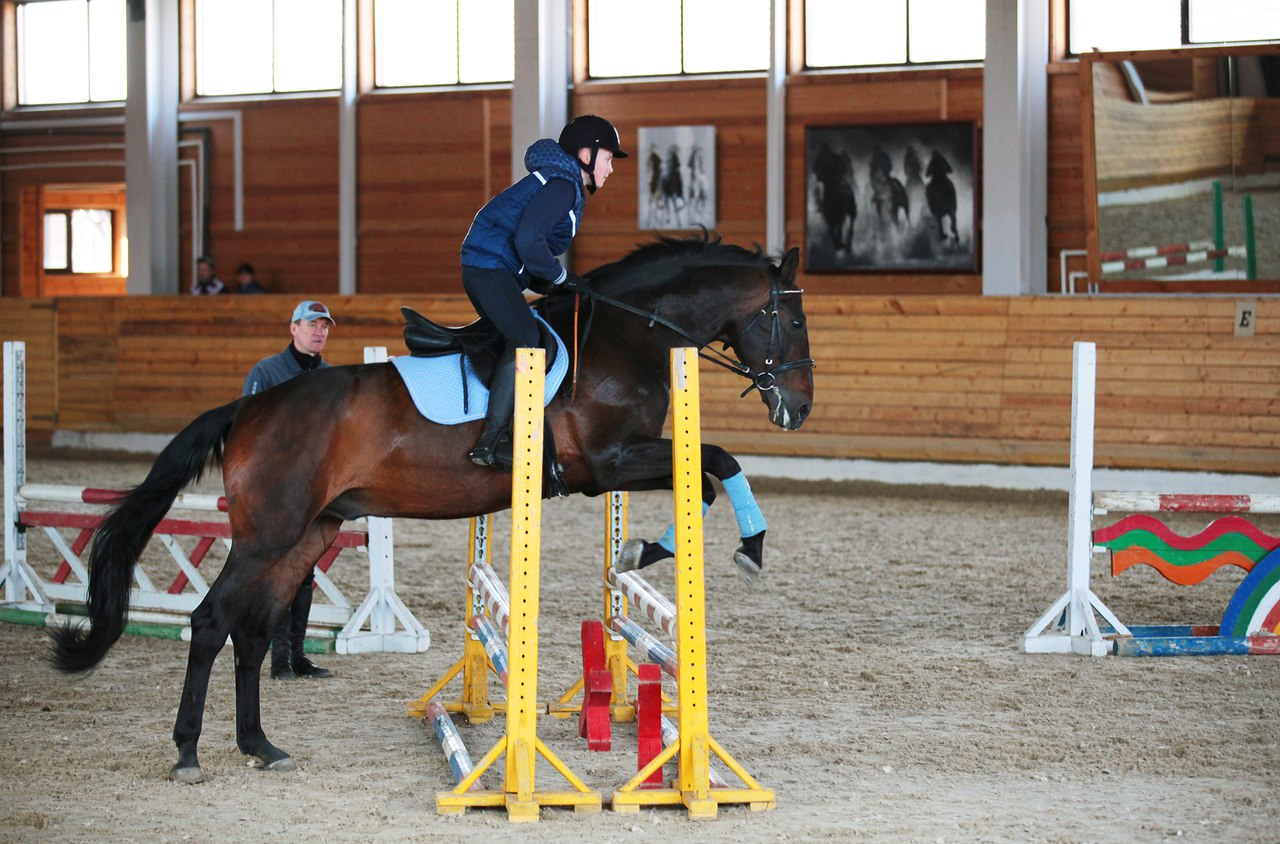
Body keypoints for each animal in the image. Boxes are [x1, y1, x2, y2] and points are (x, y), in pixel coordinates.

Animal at [49, 233, 814, 783]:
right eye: (792, 319)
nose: (799, 409)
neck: (625, 337)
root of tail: (247, 408)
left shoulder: (621, 465)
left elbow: (709, 476)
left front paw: (644, 550)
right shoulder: (607, 463)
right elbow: (720, 462)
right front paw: (739, 549)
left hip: (308, 534)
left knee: (255, 631)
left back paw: (261, 744)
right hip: (269, 534)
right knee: (212, 623)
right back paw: (187, 752)